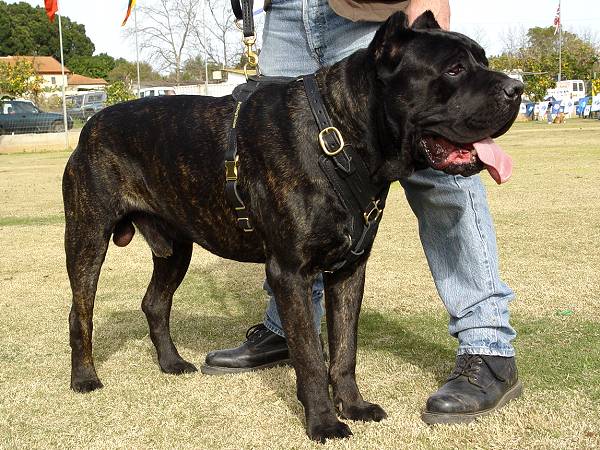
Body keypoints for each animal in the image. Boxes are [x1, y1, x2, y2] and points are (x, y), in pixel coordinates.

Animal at [62, 11, 520, 442]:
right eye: (454, 70)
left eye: (483, 60)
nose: (516, 88)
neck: (338, 136)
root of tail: (89, 126)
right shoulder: (290, 272)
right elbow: (311, 358)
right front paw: (324, 422)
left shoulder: (349, 271)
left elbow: (344, 350)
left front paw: (353, 406)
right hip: (87, 239)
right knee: (80, 313)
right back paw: (85, 378)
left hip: (175, 249)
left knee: (155, 303)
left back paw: (171, 363)